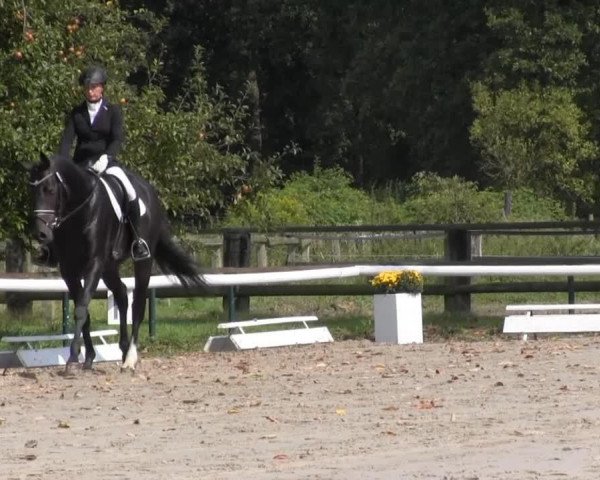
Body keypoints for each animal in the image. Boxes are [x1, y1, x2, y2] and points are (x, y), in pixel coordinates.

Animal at [28, 154, 206, 372]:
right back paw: (122, 348)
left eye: (50, 189)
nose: (40, 234)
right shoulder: (69, 270)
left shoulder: (94, 264)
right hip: (109, 268)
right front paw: (88, 357)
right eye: (32, 190)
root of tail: (150, 192)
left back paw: (130, 358)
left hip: (142, 262)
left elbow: (81, 309)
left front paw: (72, 357)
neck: (81, 211)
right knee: (121, 294)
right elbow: (83, 311)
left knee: (137, 305)